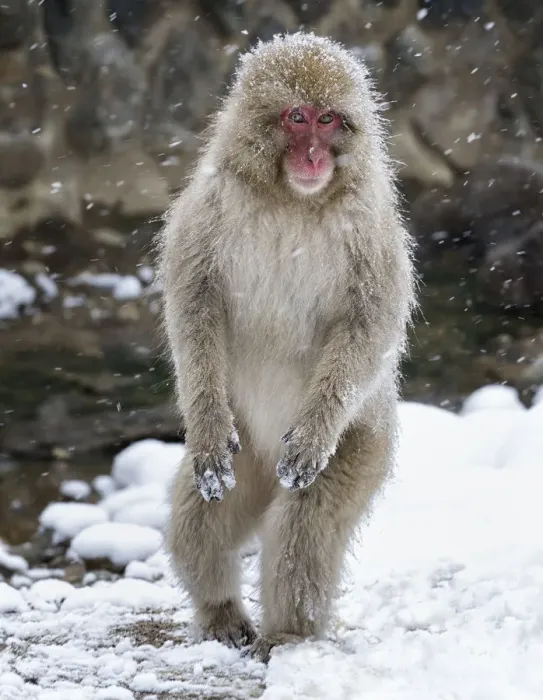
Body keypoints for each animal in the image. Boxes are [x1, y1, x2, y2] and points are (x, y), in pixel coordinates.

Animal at [157, 32, 416, 662]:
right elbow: (195, 306)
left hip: (363, 443)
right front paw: (204, 423)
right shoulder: (208, 206)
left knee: (306, 523)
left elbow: (369, 324)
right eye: (296, 118)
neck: (292, 201)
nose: (315, 156)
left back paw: (290, 632)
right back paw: (220, 610)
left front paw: (314, 436)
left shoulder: (371, 225)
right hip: (246, 447)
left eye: (329, 120)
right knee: (203, 514)